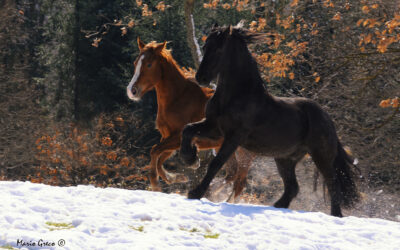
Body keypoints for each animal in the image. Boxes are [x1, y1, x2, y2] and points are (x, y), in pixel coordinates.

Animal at [126, 37, 255, 201]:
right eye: (136, 63)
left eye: (149, 64)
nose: (132, 91)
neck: (178, 98)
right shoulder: (168, 137)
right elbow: (160, 158)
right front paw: (177, 177)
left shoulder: (177, 137)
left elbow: (155, 151)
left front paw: (156, 183)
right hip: (224, 147)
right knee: (232, 174)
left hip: (243, 152)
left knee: (239, 181)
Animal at [181, 24, 360, 217]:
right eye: (206, 46)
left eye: (219, 48)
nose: (201, 78)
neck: (236, 96)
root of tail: (327, 118)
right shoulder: (214, 128)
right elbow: (187, 129)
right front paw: (190, 159)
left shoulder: (233, 137)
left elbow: (216, 163)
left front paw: (195, 192)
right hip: (285, 159)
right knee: (293, 187)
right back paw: (277, 207)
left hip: (321, 155)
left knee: (332, 183)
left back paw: (336, 214)